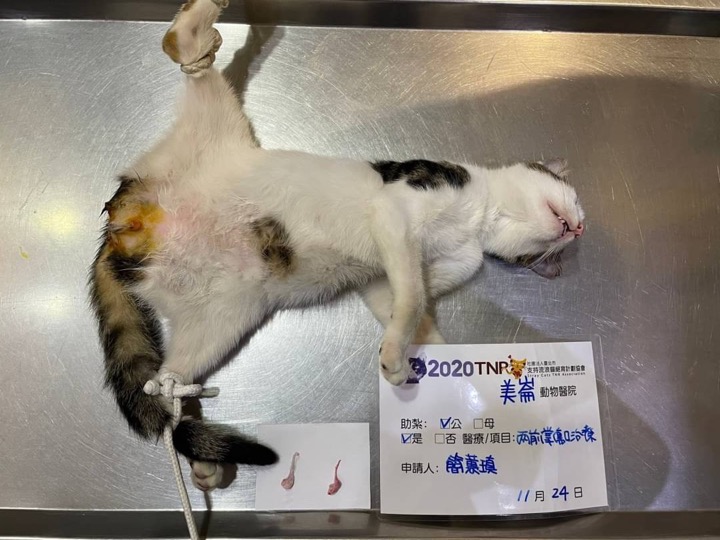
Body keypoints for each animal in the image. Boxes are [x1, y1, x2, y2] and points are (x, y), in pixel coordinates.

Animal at [89, 0, 585, 492]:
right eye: (576, 198)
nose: (578, 228)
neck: (479, 219)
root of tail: (126, 220)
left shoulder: (398, 277)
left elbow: (410, 308)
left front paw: (436, 364)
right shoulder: (396, 210)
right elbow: (412, 299)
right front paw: (397, 356)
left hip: (219, 319)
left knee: (164, 382)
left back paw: (200, 458)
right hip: (212, 131)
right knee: (189, 60)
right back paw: (199, 25)